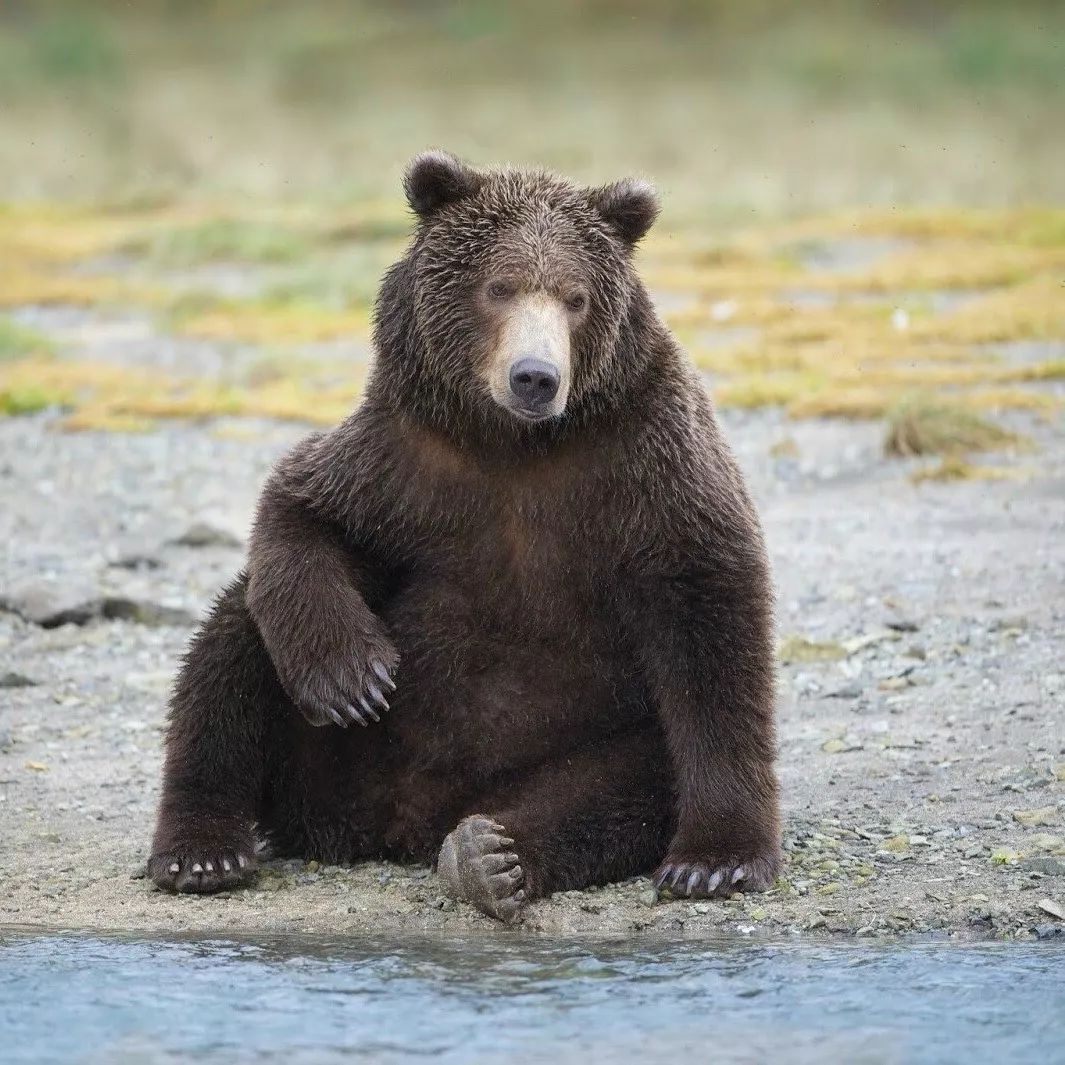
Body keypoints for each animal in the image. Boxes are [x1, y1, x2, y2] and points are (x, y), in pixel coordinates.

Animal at [148, 150, 783, 924]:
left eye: (574, 296)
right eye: (498, 286)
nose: (536, 376)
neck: (513, 446)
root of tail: (396, 825)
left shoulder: (644, 462)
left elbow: (710, 620)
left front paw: (714, 862)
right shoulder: (405, 459)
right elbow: (303, 508)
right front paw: (351, 678)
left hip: (596, 737)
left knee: (624, 788)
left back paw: (492, 855)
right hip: (319, 759)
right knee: (231, 643)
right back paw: (202, 850)